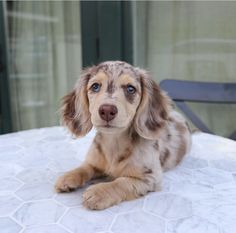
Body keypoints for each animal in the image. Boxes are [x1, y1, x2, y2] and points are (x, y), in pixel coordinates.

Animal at [54, 60, 191, 209]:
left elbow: (121, 182)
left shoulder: (150, 178)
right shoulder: (94, 163)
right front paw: (68, 176)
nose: (107, 110)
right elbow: (85, 168)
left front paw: (99, 192)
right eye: (95, 86)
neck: (113, 143)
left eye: (130, 89)